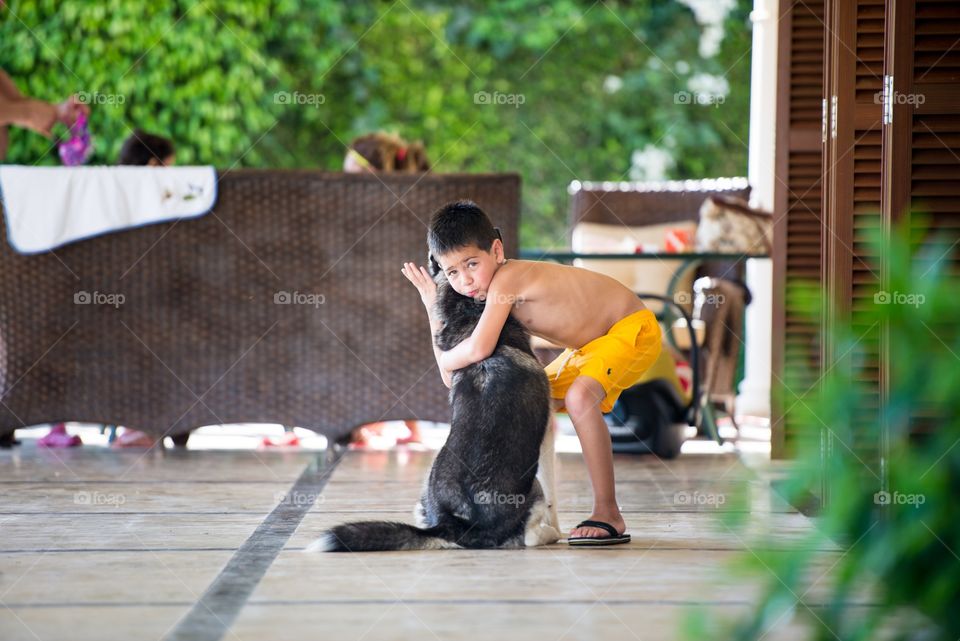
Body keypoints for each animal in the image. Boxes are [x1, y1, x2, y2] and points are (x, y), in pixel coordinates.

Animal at [308, 260, 564, 552]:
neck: (469, 318)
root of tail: (455, 524)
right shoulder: (547, 433)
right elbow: (553, 496)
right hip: (533, 491)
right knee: (532, 534)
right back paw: (549, 534)